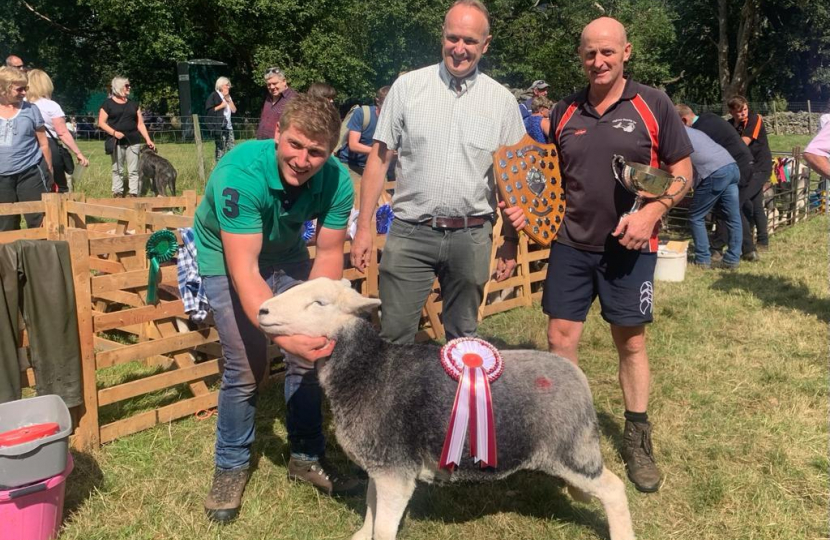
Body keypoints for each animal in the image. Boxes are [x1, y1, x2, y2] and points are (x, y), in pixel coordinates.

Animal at [256, 278, 632, 540]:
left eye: (319, 303)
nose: (261, 310)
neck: (368, 370)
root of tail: (577, 376)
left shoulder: (396, 473)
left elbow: (384, 526)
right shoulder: (383, 465)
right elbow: (371, 510)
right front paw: (361, 534)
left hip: (570, 451)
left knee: (614, 489)